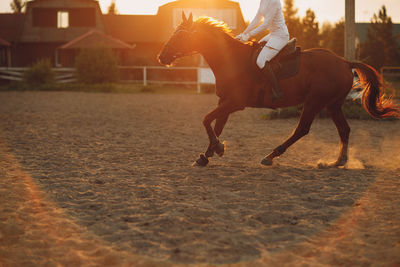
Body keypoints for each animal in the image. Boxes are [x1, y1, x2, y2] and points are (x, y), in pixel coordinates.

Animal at [158, 13, 398, 169]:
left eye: (180, 35)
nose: (161, 57)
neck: (231, 60)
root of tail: (344, 62)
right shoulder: (224, 102)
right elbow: (215, 125)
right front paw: (208, 154)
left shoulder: (235, 103)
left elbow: (206, 120)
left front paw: (217, 148)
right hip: (333, 104)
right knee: (344, 129)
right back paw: (337, 161)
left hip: (315, 101)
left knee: (302, 129)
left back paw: (272, 155)